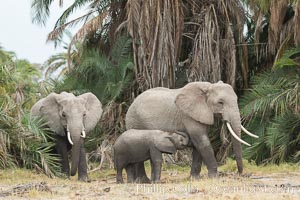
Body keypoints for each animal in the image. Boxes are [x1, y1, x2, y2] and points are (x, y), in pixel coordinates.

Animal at [125, 80, 256, 182]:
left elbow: (198, 144)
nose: (240, 174)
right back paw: (143, 181)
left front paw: (195, 178)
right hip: (134, 121)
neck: (208, 87)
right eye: (220, 102)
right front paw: (214, 177)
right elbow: (202, 141)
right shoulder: (188, 115)